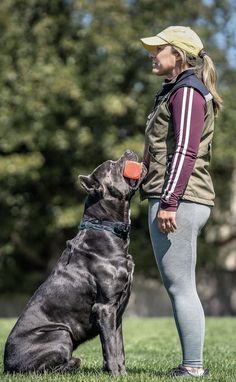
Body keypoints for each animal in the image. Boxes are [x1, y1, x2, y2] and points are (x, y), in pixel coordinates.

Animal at [3, 150, 147, 376]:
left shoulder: (117, 313)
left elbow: (118, 346)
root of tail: (7, 365)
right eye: (112, 165)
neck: (105, 228)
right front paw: (115, 374)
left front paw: (121, 373)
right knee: (46, 368)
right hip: (60, 333)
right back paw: (73, 364)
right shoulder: (105, 308)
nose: (128, 151)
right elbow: (111, 347)